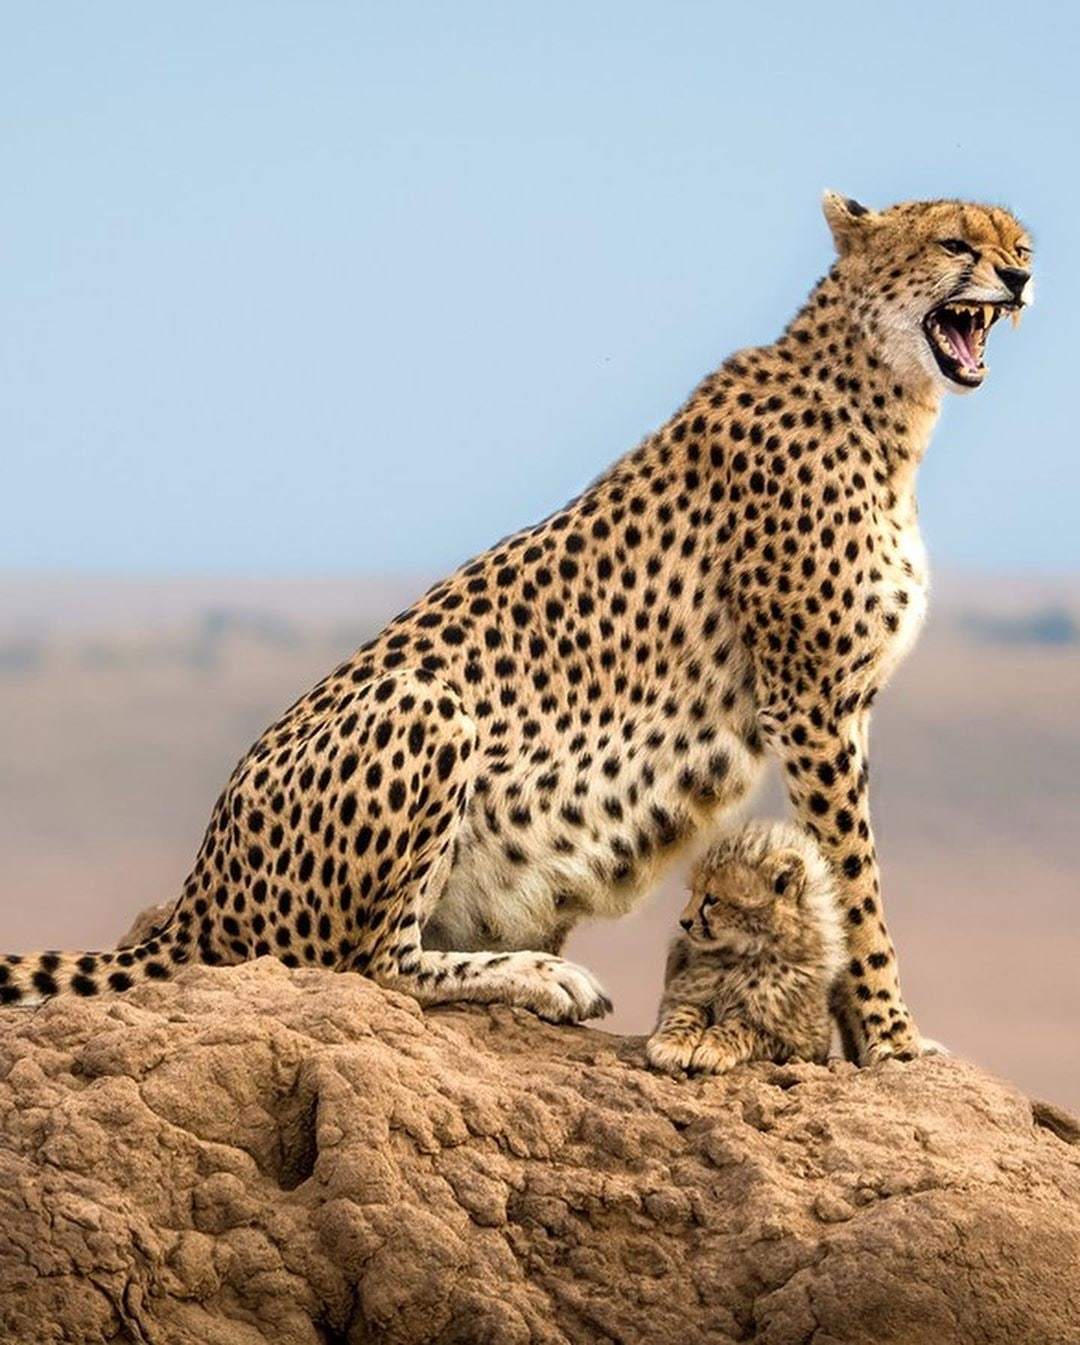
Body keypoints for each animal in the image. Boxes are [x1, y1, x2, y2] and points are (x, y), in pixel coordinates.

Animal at [0, 195, 1032, 1065]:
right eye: (956, 243)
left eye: (1018, 241)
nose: (1022, 277)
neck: (883, 399)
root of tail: (199, 890)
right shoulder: (811, 700)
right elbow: (858, 886)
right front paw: (895, 1041)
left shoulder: (835, 707)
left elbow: (840, 874)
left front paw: (864, 1035)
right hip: (425, 702)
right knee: (366, 962)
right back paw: (544, 976)